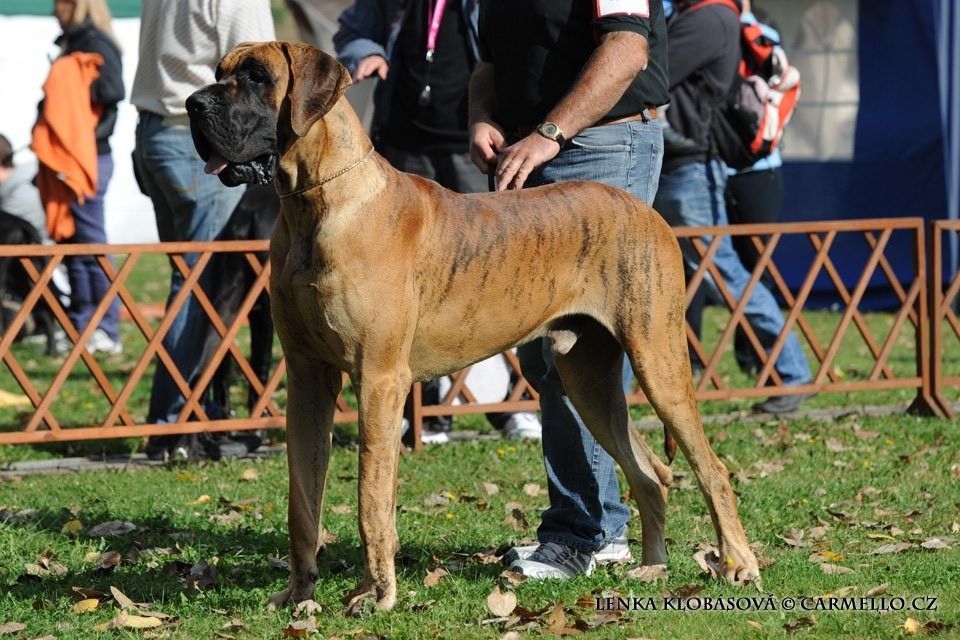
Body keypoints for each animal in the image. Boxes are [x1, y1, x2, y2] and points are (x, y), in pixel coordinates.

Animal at [186, 41, 761, 614]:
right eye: (219, 72)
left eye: (258, 77)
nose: (193, 103)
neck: (316, 203)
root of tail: (645, 209)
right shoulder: (308, 379)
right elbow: (302, 499)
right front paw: (300, 594)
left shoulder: (379, 380)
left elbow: (371, 497)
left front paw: (376, 594)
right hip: (587, 378)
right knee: (652, 472)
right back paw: (653, 567)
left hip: (657, 359)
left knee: (712, 469)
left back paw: (739, 565)